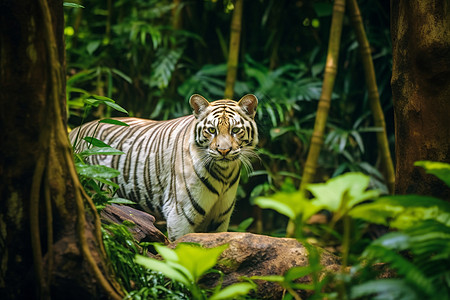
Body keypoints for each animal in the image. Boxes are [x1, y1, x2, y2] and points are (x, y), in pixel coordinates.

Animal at [71, 95, 258, 240]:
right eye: (212, 130)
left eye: (235, 130)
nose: (224, 150)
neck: (224, 173)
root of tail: (74, 131)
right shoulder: (180, 215)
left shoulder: (219, 220)